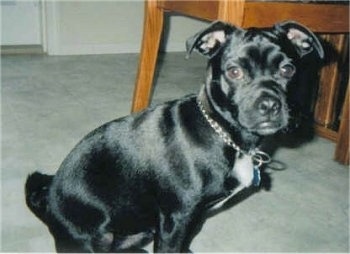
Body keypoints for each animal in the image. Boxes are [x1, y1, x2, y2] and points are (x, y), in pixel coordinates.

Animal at [26, 20, 324, 252]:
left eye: (288, 70)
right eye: (234, 71)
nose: (269, 105)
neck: (224, 135)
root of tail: (47, 205)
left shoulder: (191, 218)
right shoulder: (176, 219)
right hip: (96, 238)